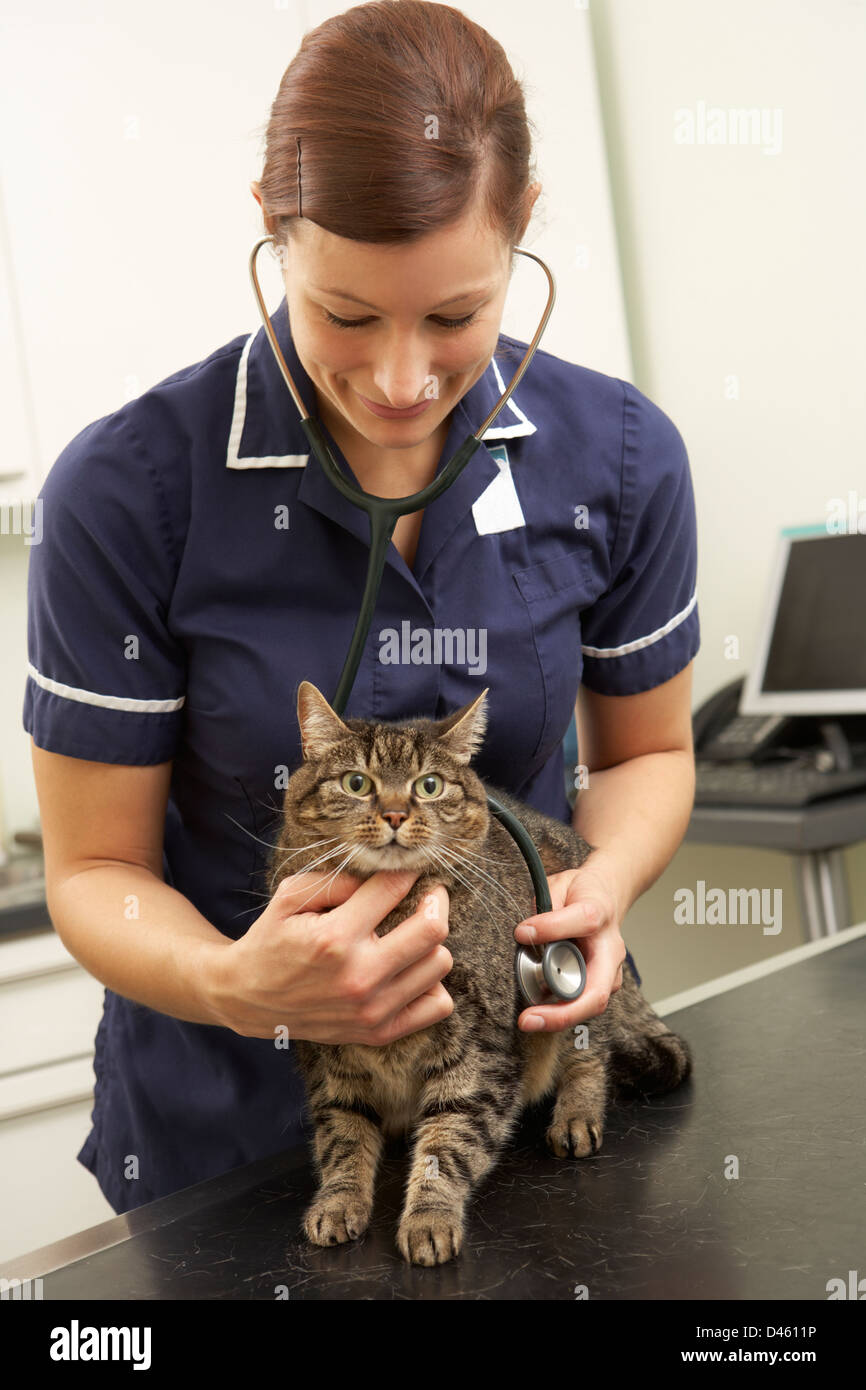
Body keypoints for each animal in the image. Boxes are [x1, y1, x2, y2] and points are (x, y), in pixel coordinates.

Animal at [268, 678, 695, 1267]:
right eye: (357, 783)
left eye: (428, 786)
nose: (395, 814)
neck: (391, 916)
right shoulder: (330, 1054)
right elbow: (342, 1136)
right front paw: (338, 1200)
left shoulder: (479, 1051)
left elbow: (449, 1141)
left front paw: (429, 1217)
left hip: (584, 995)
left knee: (592, 1054)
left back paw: (575, 1117)